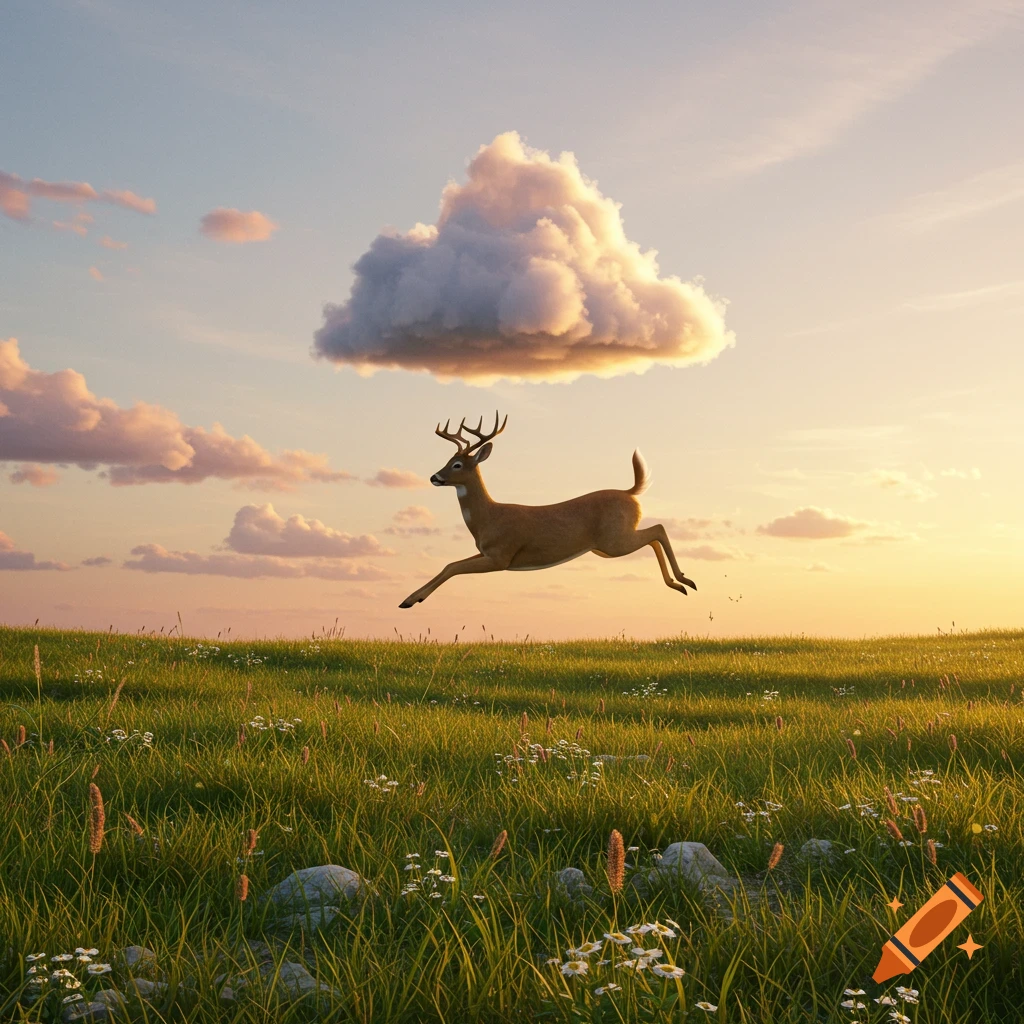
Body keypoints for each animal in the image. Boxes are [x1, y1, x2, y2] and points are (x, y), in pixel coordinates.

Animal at [398, 411, 697, 608]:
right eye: (448, 460)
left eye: (458, 465)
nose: (434, 477)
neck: (488, 519)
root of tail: (630, 493)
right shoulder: (487, 552)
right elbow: (449, 564)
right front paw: (410, 599)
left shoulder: (501, 556)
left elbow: (453, 567)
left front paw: (410, 600)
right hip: (607, 546)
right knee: (653, 537)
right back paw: (679, 585)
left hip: (614, 540)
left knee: (658, 529)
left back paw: (685, 580)